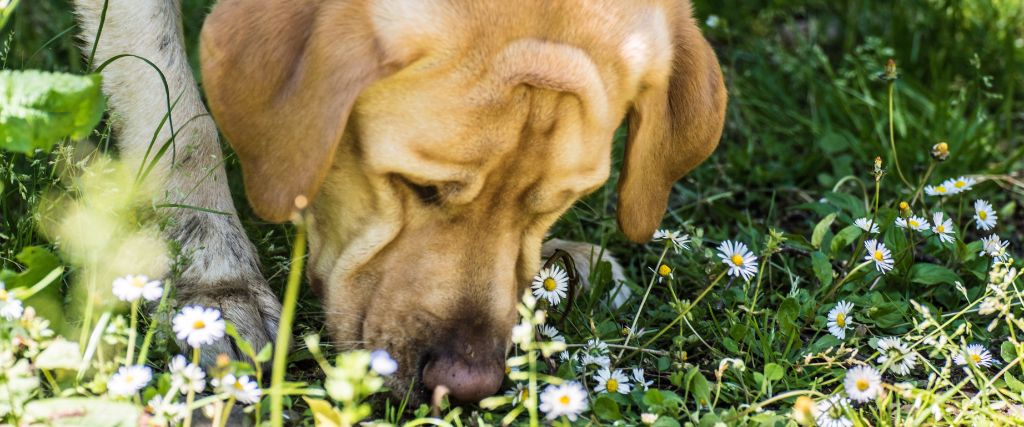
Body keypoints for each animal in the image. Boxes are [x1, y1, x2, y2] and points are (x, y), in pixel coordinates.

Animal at [72, 0, 724, 403]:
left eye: (556, 204)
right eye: (418, 186)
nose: (466, 386)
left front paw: (560, 263)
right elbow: (176, 109)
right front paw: (212, 281)